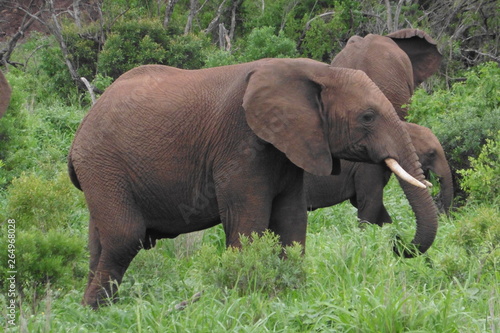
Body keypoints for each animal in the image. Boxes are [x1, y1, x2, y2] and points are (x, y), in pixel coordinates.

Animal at [69, 57, 438, 308]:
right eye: (367, 117)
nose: (396, 243)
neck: (314, 71)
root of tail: (82, 127)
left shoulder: (290, 146)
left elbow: (291, 220)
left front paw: (289, 294)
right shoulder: (241, 145)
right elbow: (248, 221)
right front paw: (243, 299)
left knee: (99, 240)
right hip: (103, 163)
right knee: (124, 236)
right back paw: (92, 310)